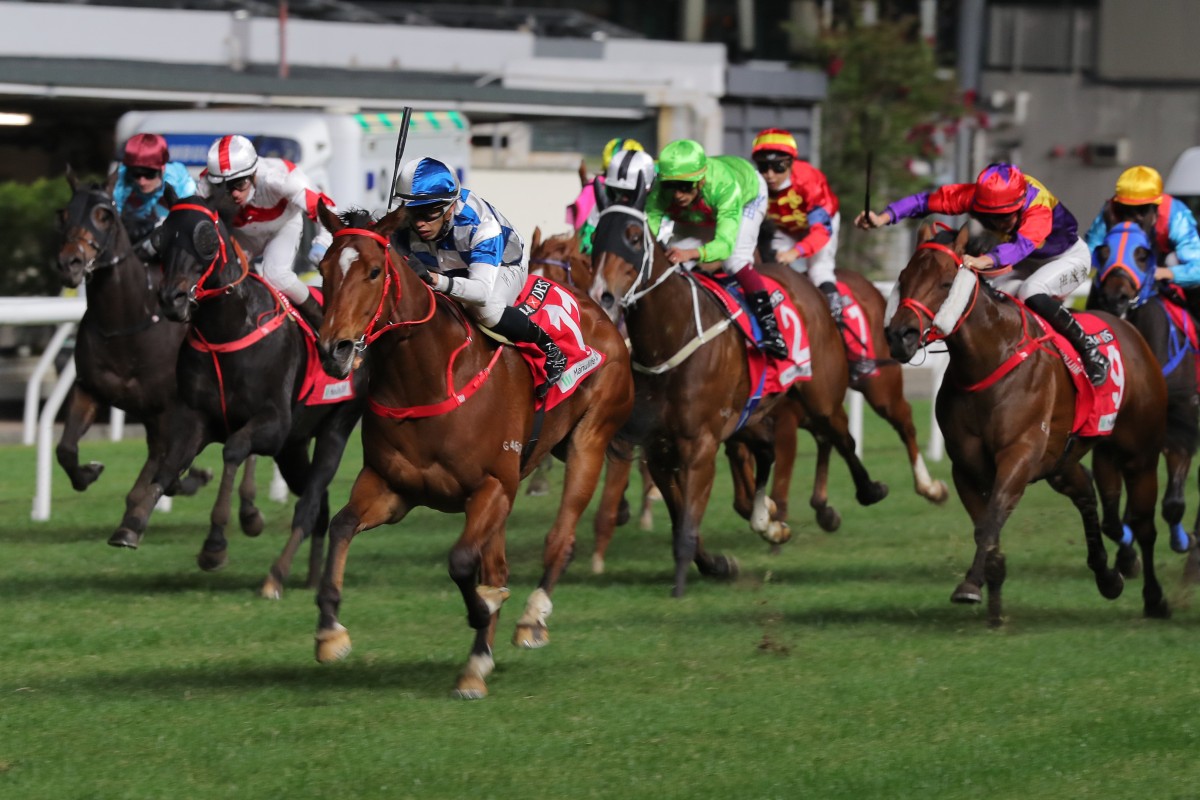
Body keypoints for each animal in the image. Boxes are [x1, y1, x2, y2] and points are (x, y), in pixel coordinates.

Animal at [309, 206, 638, 700]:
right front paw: (330, 630)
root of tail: (601, 315)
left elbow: (463, 561)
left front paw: (484, 610)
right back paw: (480, 658)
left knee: (559, 540)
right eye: (324, 269)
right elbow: (342, 525)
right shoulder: (391, 488)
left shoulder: (492, 486)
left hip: (590, 440)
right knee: (499, 564)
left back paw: (531, 618)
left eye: (372, 271)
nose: (335, 350)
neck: (427, 378)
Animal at [585, 199, 888, 599]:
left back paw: (868, 490)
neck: (671, 336)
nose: (601, 295)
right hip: (754, 414)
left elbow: (687, 524)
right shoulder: (660, 449)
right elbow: (682, 519)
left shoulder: (699, 445)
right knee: (769, 450)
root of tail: (807, 285)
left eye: (633, 237)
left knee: (841, 435)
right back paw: (770, 520)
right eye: (595, 238)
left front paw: (680, 587)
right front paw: (716, 564)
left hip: (820, 394)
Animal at [883, 221, 1171, 628]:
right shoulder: (966, 467)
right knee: (1086, 493)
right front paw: (993, 605)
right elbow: (984, 525)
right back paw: (1107, 576)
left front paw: (969, 587)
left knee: (1144, 526)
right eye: (904, 277)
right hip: (1060, 461)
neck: (987, 361)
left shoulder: (1018, 455)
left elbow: (991, 519)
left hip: (1139, 455)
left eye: (944, 282)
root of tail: (1130, 332)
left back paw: (1155, 597)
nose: (900, 336)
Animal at [1094, 219, 1195, 556]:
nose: (1117, 297)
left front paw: (1182, 540)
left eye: (1142, 254)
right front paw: (1127, 550)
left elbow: (1173, 503)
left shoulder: (1181, 422)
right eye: (1103, 251)